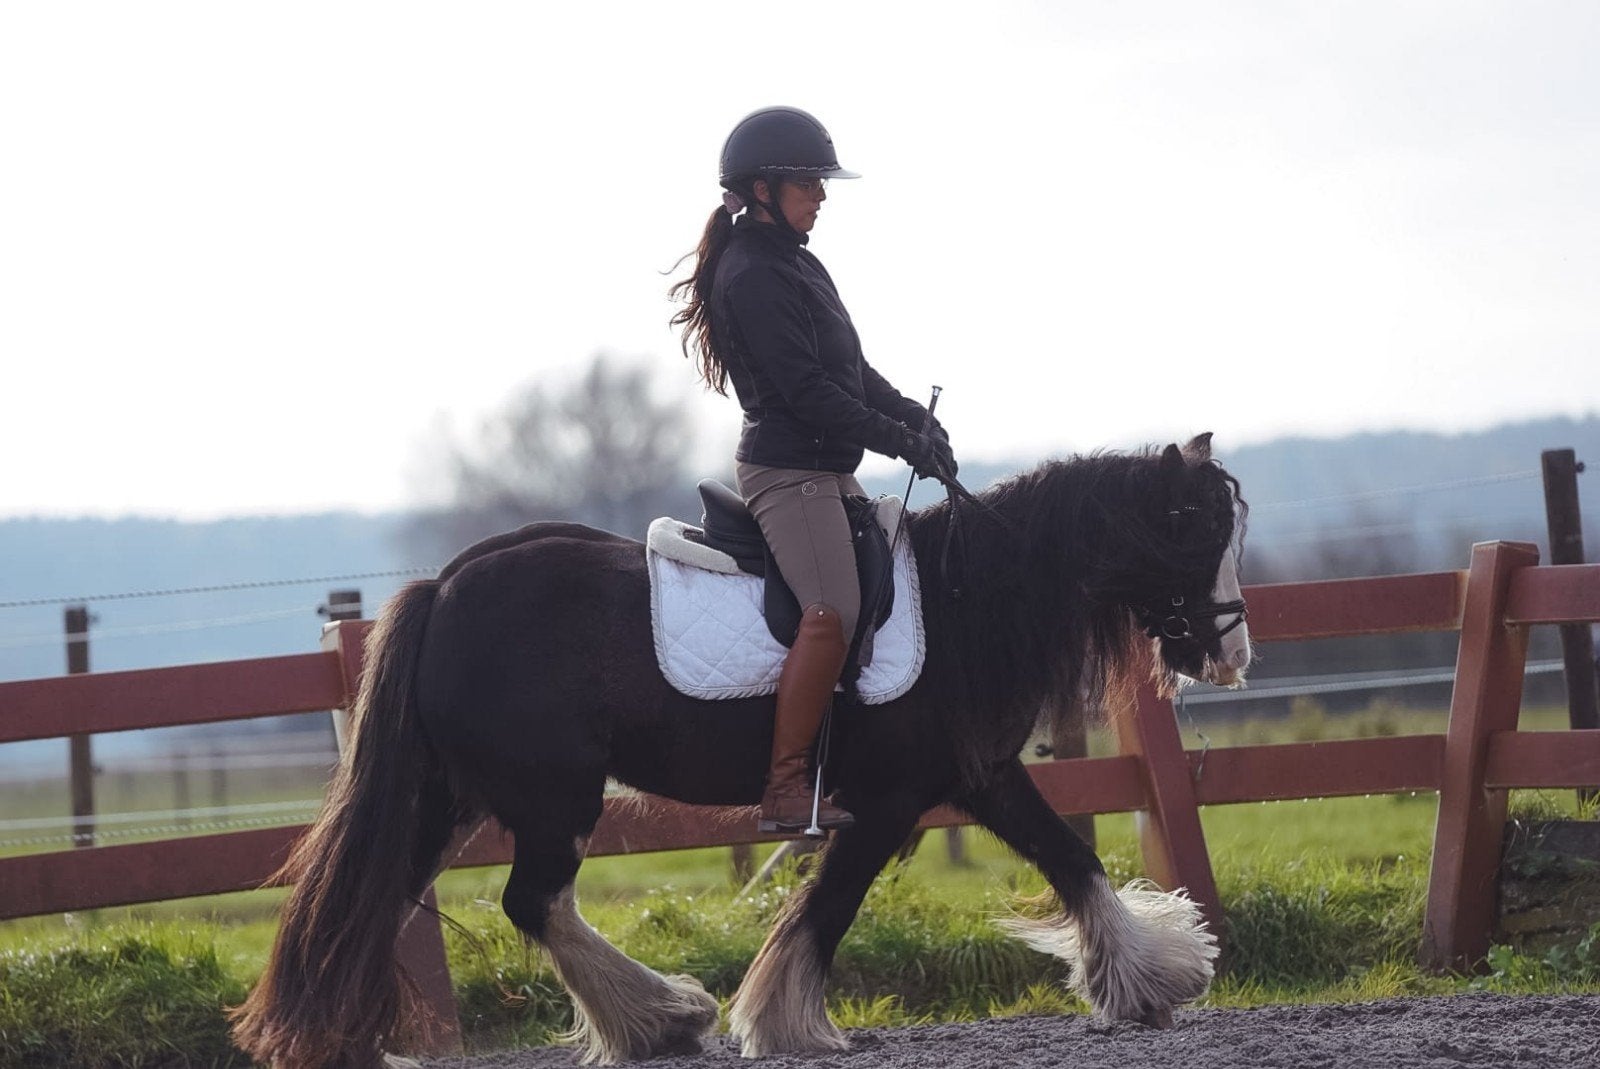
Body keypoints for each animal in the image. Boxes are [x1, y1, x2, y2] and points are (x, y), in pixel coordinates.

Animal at [230, 433, 1251, 1067]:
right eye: (1194, 526)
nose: (1234, 652)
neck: (970, 595)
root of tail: (444, 588)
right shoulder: (886, 801)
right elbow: (826, 909)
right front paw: (780, 1018)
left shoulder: (980, 775)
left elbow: (1072, 856)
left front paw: (1151, 976)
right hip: (552, 799)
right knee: (529, 900)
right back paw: (661, 1017)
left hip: (451, 798)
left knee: (376, 901)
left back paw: (350, 1036)